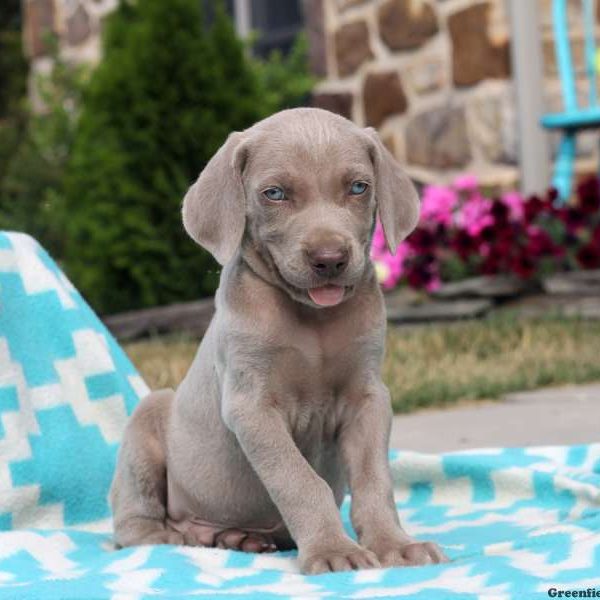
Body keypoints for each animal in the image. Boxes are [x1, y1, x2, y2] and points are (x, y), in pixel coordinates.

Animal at [110, 105, 448, 576]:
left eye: (358, 187)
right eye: (275, 194)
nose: (329, 260)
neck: (312, 318)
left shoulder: (369, 398)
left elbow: (374, 479)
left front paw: (394, 544)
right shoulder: (251, 405)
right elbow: (299, 480)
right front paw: (331, 549)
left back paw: (238, 538)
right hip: (149, 419)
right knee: (135, 522)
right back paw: (169, 539)